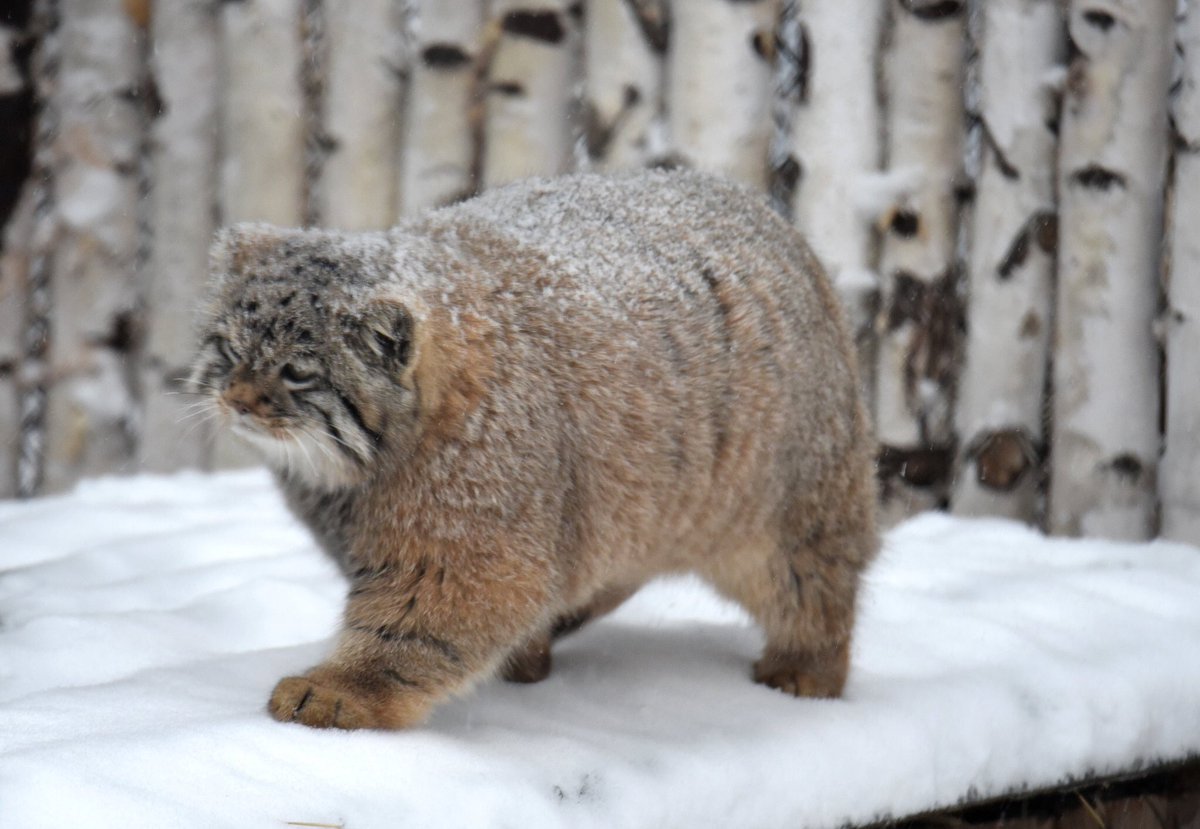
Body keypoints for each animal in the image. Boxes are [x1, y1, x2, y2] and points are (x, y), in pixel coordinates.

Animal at [189, 171, 883, 729]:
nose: (237, 399)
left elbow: (413, 624)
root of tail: (773, 217)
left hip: (798, 503)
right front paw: (521, 658)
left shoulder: (467, 537)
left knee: (817, 584)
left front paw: (344, 691)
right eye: (230, 348)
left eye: (297, 373)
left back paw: (807, 667)